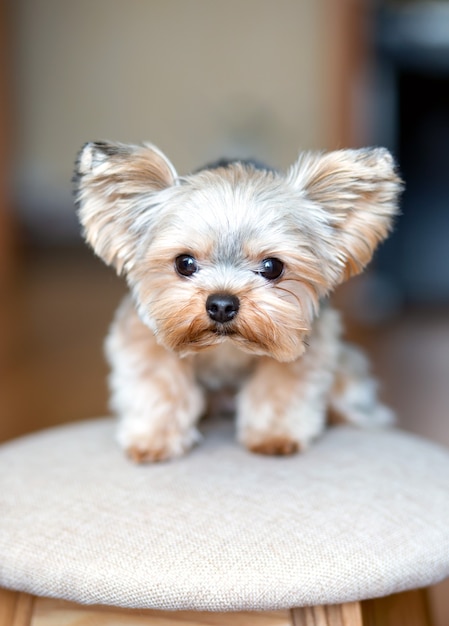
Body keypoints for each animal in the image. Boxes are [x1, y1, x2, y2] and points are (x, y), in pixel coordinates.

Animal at [74, 143, 402, 464]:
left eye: (272, 267)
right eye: (184, 263)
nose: (221, 304)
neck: (225, 347)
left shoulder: (305, 340)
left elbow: (279, 385)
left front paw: (274, 435)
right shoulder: (142, 334)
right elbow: (160, 383)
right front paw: (154, 439)